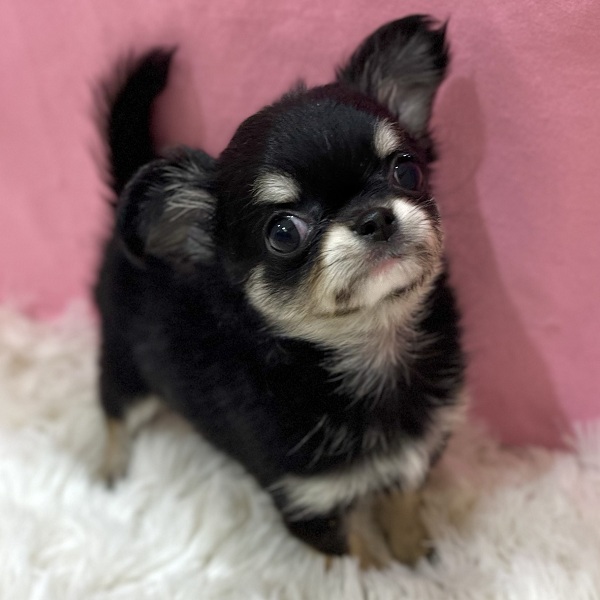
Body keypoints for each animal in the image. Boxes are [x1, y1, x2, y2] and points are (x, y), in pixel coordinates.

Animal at [95, 15, 465, 569]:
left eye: (406, 170)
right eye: (284, 232)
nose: (374, 217)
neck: (371, 351)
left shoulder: (412, 459)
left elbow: (402, 512)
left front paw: (418, 560)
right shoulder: (313, 505)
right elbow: (360, 563)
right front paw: (387, 575)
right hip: (126, 364)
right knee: (114, 411)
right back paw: (110, 469)